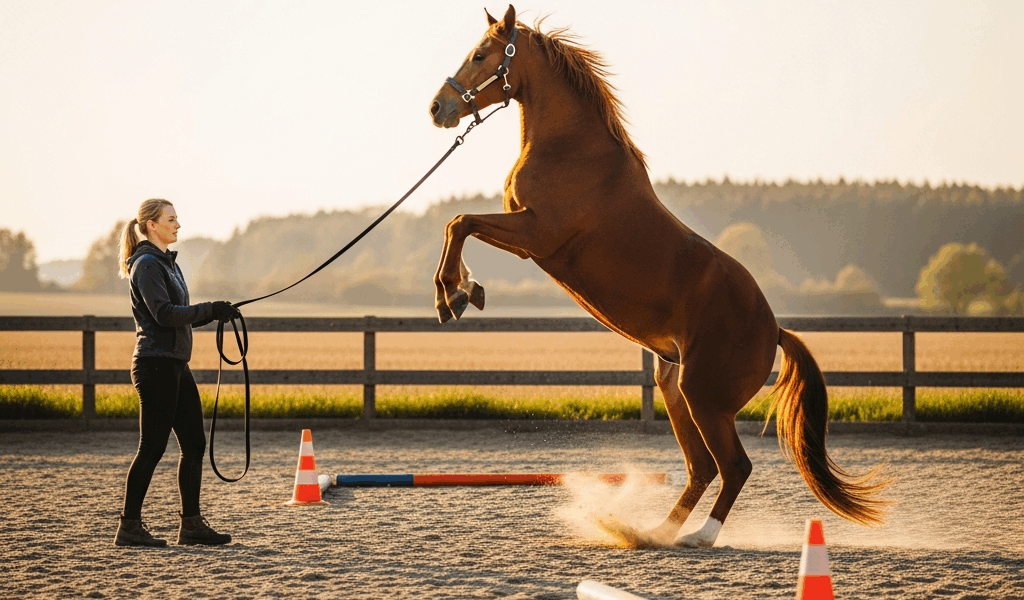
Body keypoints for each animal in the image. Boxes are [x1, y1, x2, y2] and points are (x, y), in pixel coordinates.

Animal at [428, 5, 887, 548]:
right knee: (701, 469)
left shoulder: (537, 236)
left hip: (704, 398)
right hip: (675, 390)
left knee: (734, 466)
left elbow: (460, 221)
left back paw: (699, 536)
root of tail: (774, 330)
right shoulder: (525, 238)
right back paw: (653, 531)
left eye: (482, 54)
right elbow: (460, 224)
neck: (570, 149)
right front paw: (464, 290)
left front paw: (451, 295)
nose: (437, 107)